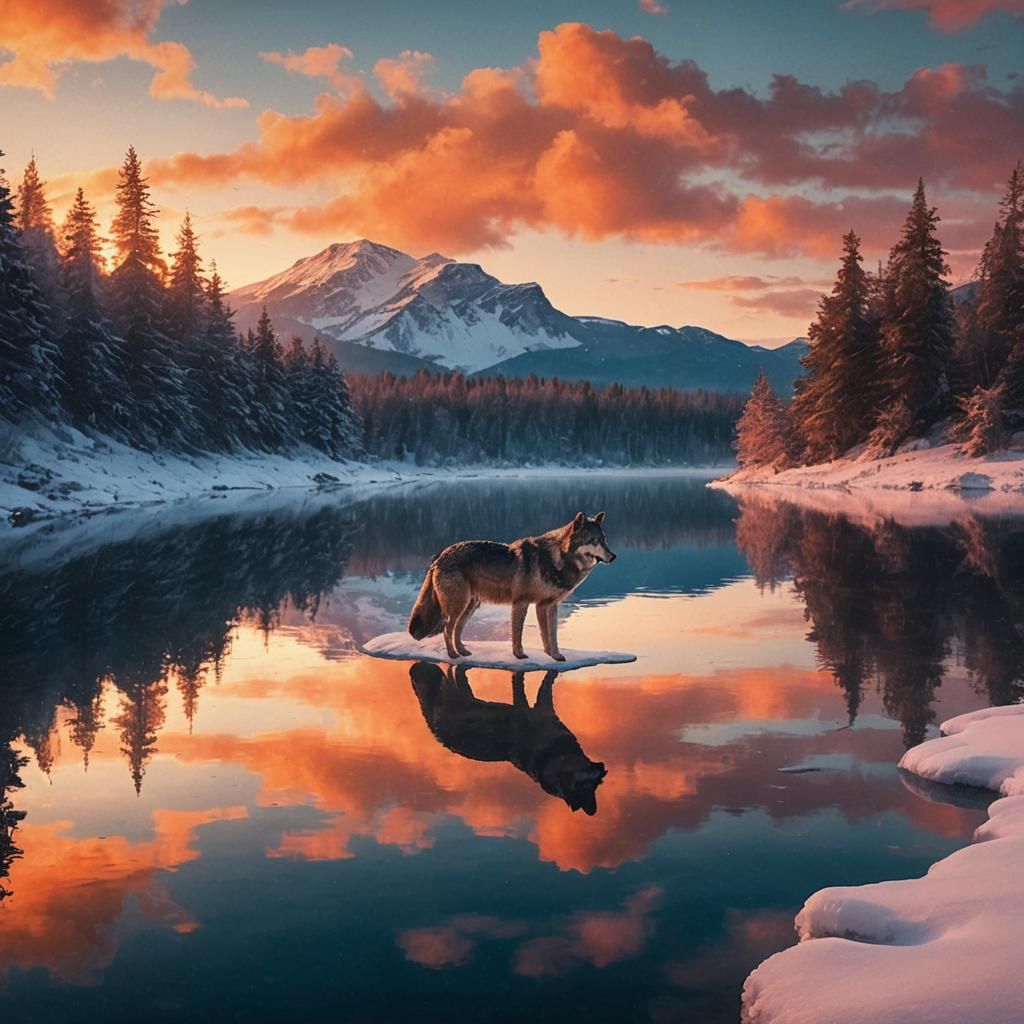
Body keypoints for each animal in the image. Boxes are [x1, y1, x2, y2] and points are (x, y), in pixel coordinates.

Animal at [407, 512, 617, 661]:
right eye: (594, 541)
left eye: (605, 540)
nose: (613, 556)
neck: (556, 559)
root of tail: (439, 557)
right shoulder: (521, 603)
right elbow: (518, 634)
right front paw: (519, 655)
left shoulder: (548, 606)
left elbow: (551, 635)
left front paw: (554, 656)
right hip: (459, 606)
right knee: (447, 629)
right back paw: (452, 655)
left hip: (470, 606)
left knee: (457, 630)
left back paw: (463, 652)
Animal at [410, 662, 607, 815]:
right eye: (584, 787)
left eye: (596, 786)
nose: (592, 812)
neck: (556, 754)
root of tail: (435, 729)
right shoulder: (528, 709)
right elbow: (531, 684)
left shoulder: (545, 709)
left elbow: (546, 684)